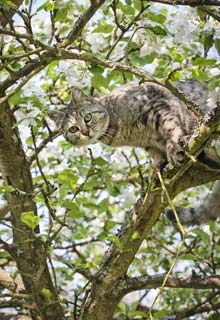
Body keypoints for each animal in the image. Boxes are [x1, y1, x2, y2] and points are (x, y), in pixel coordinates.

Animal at [48, 80, 220, 225]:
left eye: (88, 117)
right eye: (73, 129)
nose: (85, 132)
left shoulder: (157, 101)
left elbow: (170, 126)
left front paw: (173, 146)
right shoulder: (147, 142)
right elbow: (155, 153)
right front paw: (157, 166)